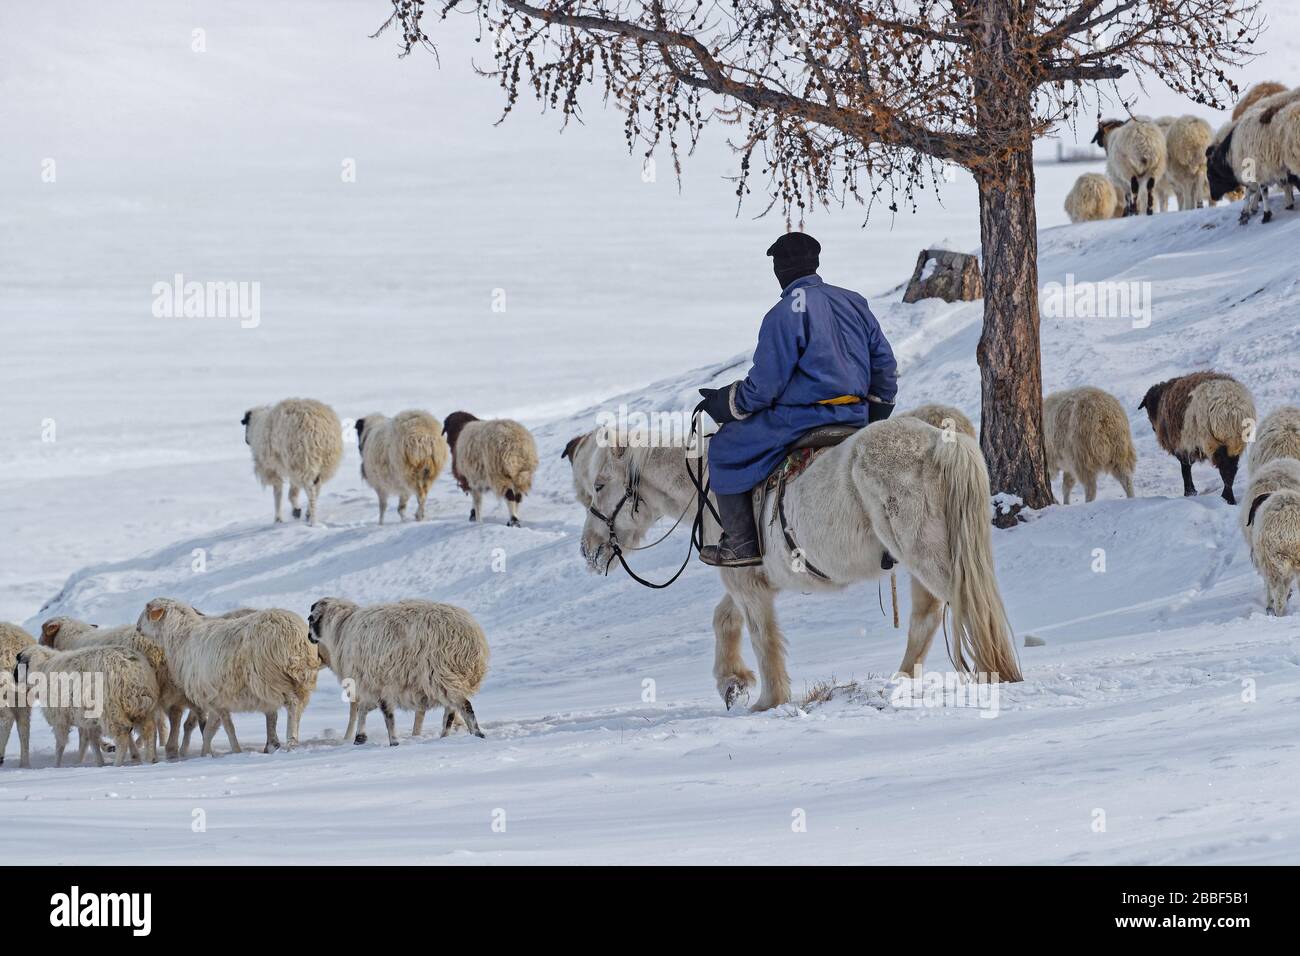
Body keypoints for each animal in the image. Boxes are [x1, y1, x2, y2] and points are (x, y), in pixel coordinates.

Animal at [16, 644, 160, 767]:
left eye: (18, 664)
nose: (14, 679)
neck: (43, 668)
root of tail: (133, 670)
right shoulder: (87, 719)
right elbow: (91, 741)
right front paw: (95, 762)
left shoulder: (60, 718)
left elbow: (60, 745)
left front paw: (56, 765)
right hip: (140, 707)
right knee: (149, 729)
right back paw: (151, 759)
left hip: (111, 710)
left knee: (122, 735)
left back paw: (117, 764)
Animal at [136, 598, 319, 756]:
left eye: (147, 609)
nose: (137, 627)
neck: (182, 639)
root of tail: (294, 635)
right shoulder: (215, 700)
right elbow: (210, 730)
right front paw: (206, 754)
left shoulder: (214, 699)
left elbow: (227, 728)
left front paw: (235, 750)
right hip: (299, 681)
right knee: (291, 708)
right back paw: (279, 742)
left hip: (271, 679)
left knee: (292, 705)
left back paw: (291, 739)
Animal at [308, 597, 489, 745]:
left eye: (310, 619)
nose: (309, 637)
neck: (341, 629)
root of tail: (472, 636)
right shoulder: (373, 684)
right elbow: (366, 710)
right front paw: (361, 738)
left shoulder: (373, 682)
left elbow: (384, 714)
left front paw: (391, 741)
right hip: (447, 677)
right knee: (451, 711)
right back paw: (446, 736)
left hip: (441, 674)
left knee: (464, 706)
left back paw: (476, 733)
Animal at [1138, 371, 1256, 504]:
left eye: (1148, 407)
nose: (1153, 428)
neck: (1159, 405)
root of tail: (1229, 406)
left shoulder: (1182, 446)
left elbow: (1185, 470)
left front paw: (1189, 492)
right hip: (1234, 443)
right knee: (1231, 469)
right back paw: (1229, 499)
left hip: (1212, 441)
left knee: (1225, 469)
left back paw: (1227, 498)